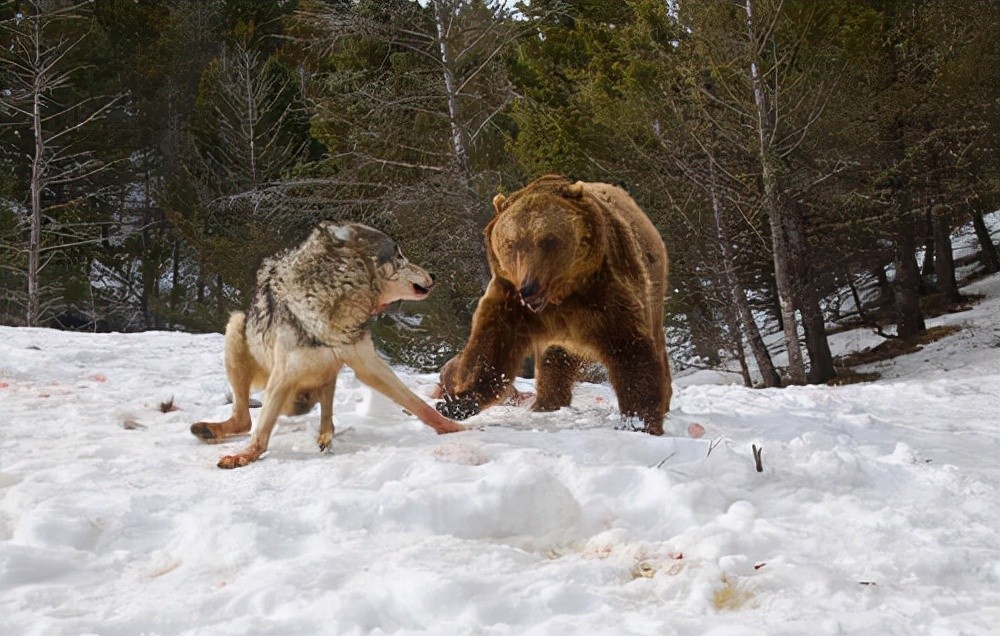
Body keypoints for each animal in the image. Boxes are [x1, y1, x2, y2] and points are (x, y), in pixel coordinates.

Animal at [191, 222, 464, 468]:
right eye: (399, 256)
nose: (434, 275)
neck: (334, 303)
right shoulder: (284, 373)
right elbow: (261, 432)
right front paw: (244, 455)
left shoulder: (367, 363)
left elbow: (418, 404)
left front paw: (457, 428)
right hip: (237, 327)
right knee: (244, 419)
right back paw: (208, 430)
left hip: (326, 372)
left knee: (323, 410)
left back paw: (325, 436)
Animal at [436, 173, 672, 432]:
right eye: (511, 243)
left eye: (549, 240)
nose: (529, 288)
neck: (560, 296)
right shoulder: (511, 300)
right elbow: (491, 348)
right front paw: (457, 402)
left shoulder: (604, 293)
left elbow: (630, 351)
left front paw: (639, 422)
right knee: (554, 360)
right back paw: (547, 403)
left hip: (652, 287)